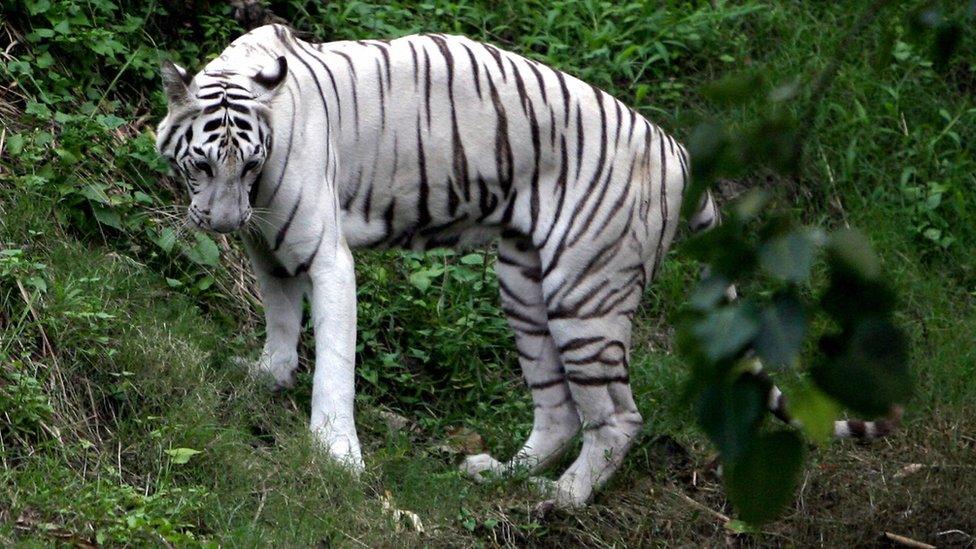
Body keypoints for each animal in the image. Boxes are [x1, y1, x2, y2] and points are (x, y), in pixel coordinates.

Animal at [154, 23, 892, 508]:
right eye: (202, 164)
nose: (220, 222)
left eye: (247, 163)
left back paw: (558, 497)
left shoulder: (326, 254)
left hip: (584, 295)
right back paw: (498, 473)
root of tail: (680, 151)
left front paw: (337, 456)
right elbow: (281, 320)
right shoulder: (269, 246)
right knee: (561, 411)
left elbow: (334, 361)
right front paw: (265, 374)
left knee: (617, 418)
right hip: (525, 284)